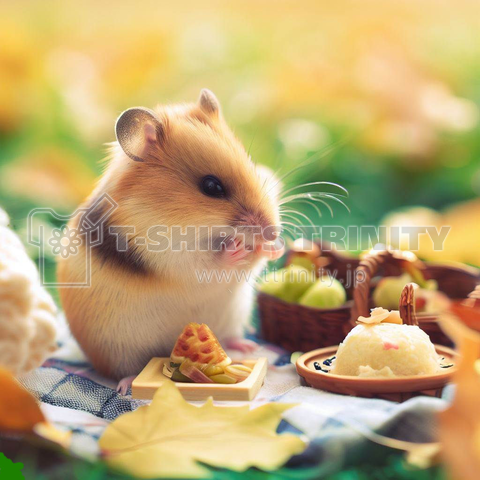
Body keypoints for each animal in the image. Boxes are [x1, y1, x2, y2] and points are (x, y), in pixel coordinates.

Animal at [60, 88, 284, 384]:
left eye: (253, 169)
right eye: (211, 186)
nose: (272, 231)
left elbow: (254, 260)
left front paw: (274, 247)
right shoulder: (165, 254)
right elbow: (204, 262)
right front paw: (236, 249)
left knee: (229, 338)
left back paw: (248, 347)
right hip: (118, 349)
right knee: (126, 370)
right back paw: (126, 384)